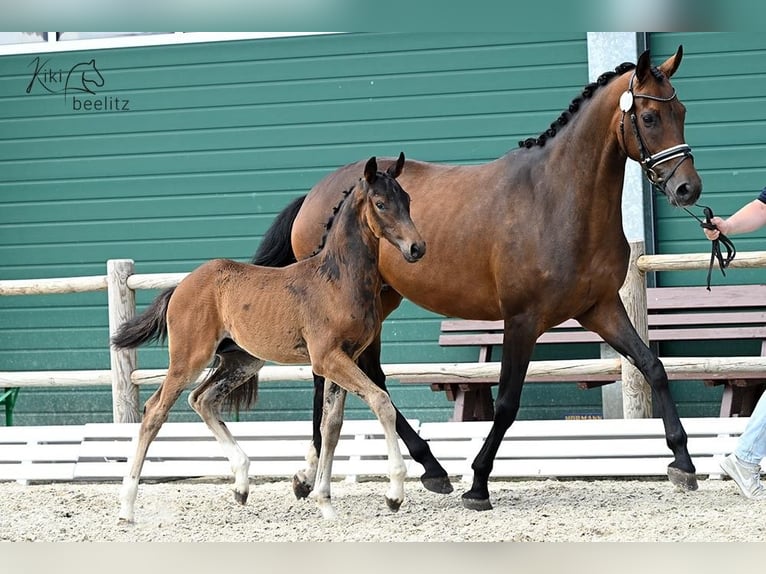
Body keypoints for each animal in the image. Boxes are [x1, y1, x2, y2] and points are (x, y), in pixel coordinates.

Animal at [112, 153, 426, 521]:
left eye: (407, 200)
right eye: (380, 203)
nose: (417, 248)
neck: (337, 279)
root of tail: (181, 285)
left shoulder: (341, 359)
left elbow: (331, 427)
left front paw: (325, 503)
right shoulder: (328, 359)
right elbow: (381, 402)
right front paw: (394, 493)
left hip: (242, 361)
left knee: (202, 399)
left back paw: (241, 484)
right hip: (190, 358)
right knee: (154, 411)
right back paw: (127, 506)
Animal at [244, 46, 704, 511]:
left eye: (682, 111)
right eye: (649, 117)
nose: (688, 189)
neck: (557, 199)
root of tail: (317, 193)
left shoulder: (601, 308)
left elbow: (653, 366)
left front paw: (683, 462)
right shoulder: (522, 320)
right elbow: (507, 402)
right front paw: (479, 482)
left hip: (381, 300)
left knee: (367, 375)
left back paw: (424, 469)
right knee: (329, 376)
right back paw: (320, 473)